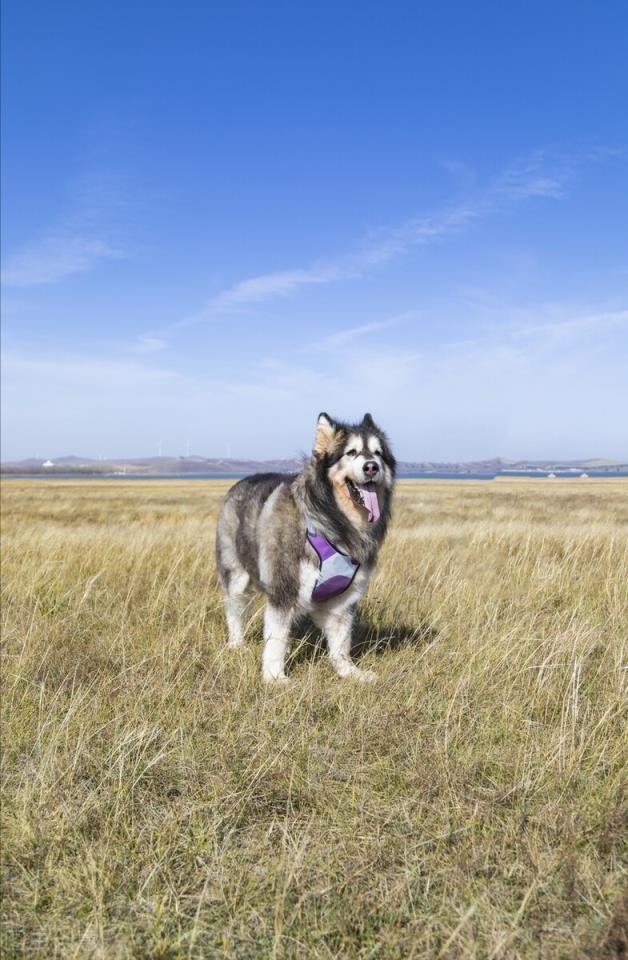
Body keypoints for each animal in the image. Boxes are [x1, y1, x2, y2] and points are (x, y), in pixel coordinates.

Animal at [213, 412, 394, 684]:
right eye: (351, 452)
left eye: (378, 453)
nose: (371, 466)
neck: (333, 522)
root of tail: (241, 481)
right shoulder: (283, 588)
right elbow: (276, 638)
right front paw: (275, 678)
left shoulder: (343, 599)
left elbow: (341, 641)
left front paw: (349, 671)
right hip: (235, 575)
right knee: (235, 611)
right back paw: (237, 644)